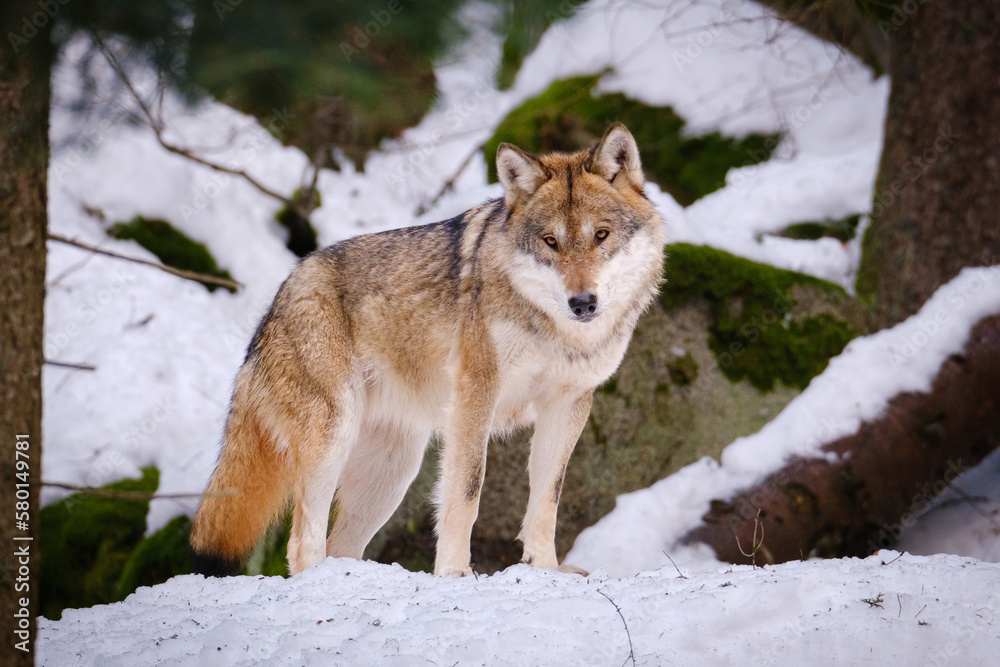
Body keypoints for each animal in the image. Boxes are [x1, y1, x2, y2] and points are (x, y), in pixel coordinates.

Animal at [189, 123, 665, 577]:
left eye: (601, 235)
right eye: (551, 242)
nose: (582, 303)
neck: (557, 333)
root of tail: (283, 290)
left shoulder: (568, 404)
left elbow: (547, 500)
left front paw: (545, 570)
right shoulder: (476, 395)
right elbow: (467, 493)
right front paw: (454, 572)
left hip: (391, 472)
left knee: (341, 546)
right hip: (335, 438)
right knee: (302, 544)